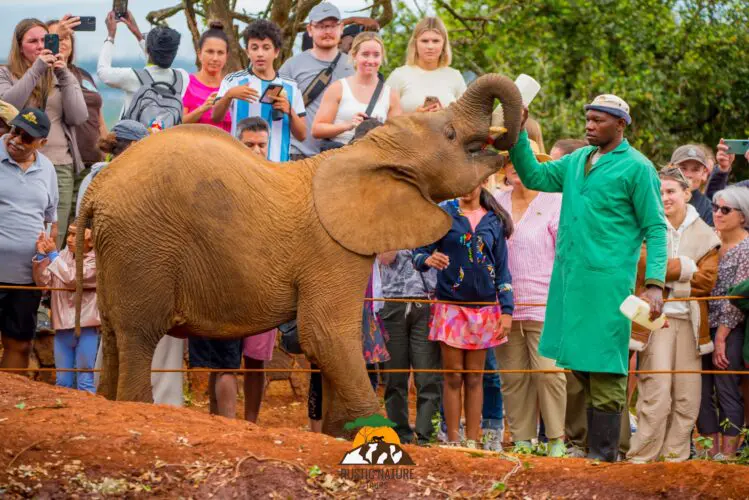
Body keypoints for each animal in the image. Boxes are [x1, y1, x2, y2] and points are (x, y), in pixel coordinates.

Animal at [76, 72, 520, 436]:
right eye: (449, 134)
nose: (504, 145)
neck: (368, 154)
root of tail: (98, 188)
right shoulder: (332, 248)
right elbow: (327, 335)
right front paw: (375, 432)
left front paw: (340, 432)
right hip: (144, 244)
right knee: (139, 336)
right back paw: (137, 408)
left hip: (122, 248)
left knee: (113, 336)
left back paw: (106, 402)